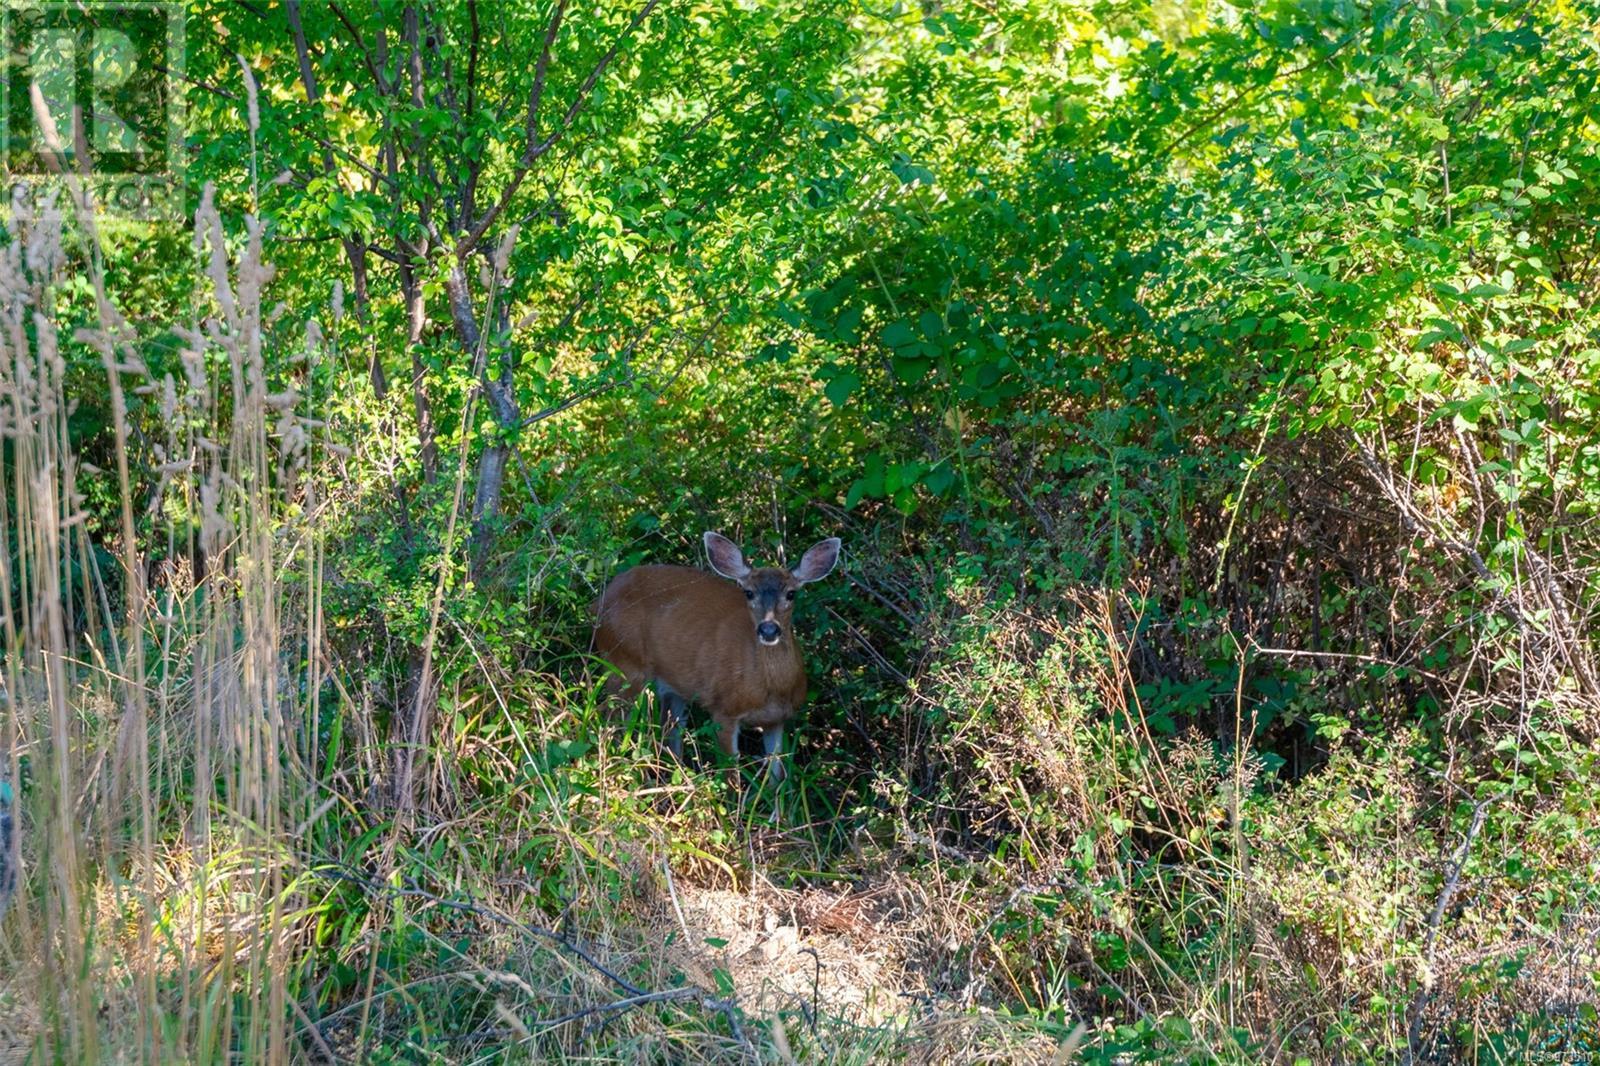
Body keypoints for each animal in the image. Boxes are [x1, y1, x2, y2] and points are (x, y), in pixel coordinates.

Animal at [595, 531, 844, 781]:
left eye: (791, 593)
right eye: (748, 592)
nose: (768, 629)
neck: (770, 690)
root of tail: (603, 597)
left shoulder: (777, 720)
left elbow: (778, 777)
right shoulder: (724, 709)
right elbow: (731, 775)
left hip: (672, 687)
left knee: (669, 731)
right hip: (624, 662)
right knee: (610, 718)